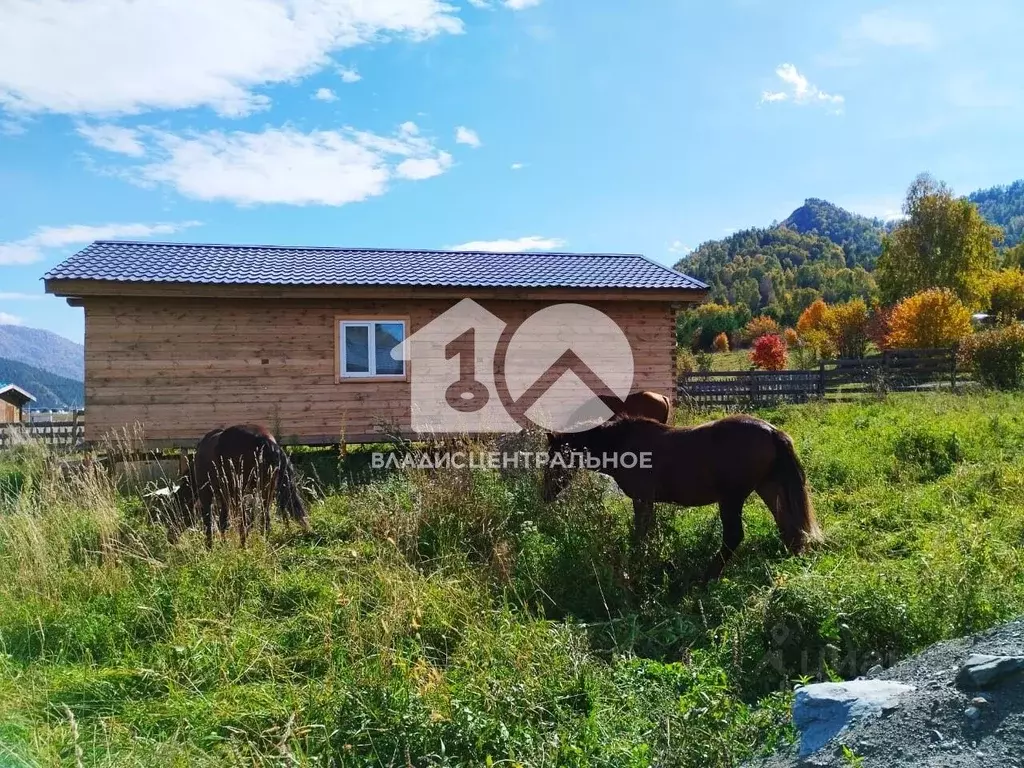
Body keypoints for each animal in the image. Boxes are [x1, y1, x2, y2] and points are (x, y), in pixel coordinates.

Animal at [174, 428, 309, 548]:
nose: (171, 538)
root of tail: (264, 440)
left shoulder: (207, 493)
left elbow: (209, 523)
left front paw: (210, 548)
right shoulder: (225, 497)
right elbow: (223, 522)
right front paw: (223, 544)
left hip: (239, 494)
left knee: (244, 523)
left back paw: (243, 547)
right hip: (266, 490)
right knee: (264, 520)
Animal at [544, 415, 823, 581]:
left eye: (555, 459)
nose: (545, 494)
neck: (621, 444)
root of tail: (772, 431)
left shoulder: (642, 500)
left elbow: (639, 535)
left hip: (732, 498)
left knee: (734, 536)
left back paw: (707, 577)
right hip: (768, 488)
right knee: (788, 525)